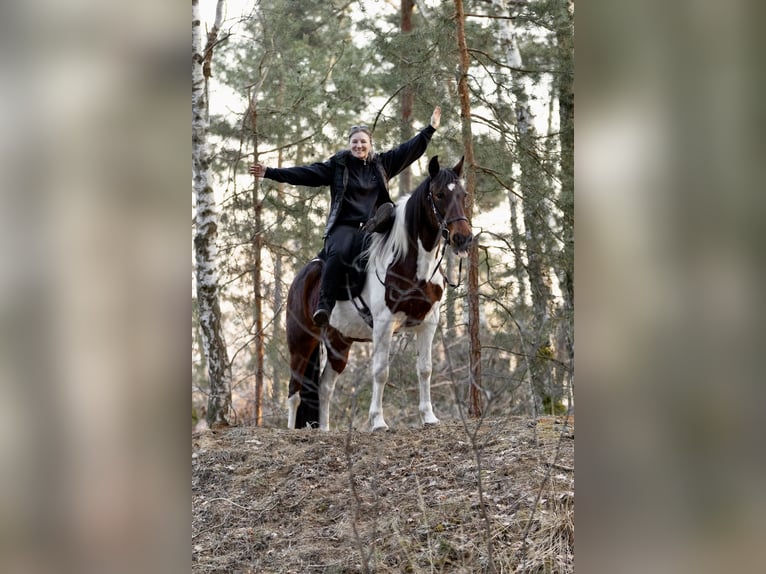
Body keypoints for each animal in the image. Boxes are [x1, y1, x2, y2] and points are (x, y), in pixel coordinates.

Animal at [284, 156, 474, 432]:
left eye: (463, 195)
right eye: (439, 194)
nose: (463, 239)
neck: (409, 264)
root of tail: (301, 277)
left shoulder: (428, 323)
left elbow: (425, 369)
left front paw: (428, 417)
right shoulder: (384, 324)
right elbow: (381, 372)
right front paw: (378, 421)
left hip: (339, 343)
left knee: (324, 387)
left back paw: (325, 430)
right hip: (302, 341)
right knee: (294, 390)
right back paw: (290, 429)